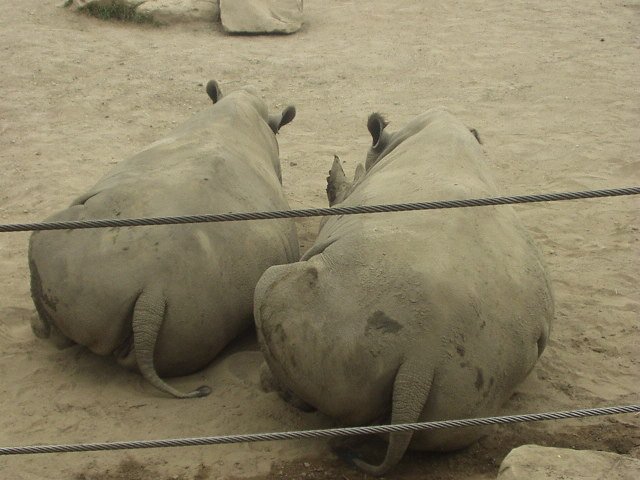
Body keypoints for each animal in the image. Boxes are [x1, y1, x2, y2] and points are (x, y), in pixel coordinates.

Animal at [254, 108, 554, 474]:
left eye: (334, 193)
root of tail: (422, 357)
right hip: (483, 374)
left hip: (335, 316)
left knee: (268, 283)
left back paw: (278, 390)